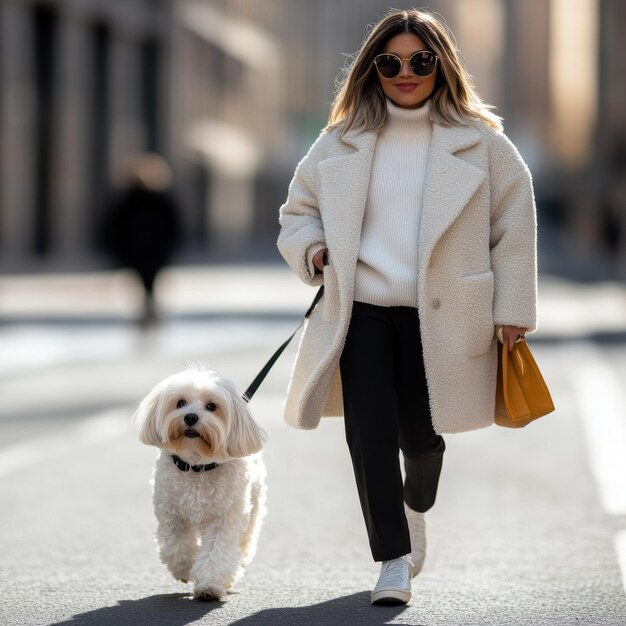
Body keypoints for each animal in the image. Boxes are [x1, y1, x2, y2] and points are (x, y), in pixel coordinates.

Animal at [134, 366, 266, 600]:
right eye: (180, 403)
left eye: (212, 406)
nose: (190, 417)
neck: (197, 465)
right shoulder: (171, 515)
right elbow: (176, 546)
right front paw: (185, 569)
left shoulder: (225, 519)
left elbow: (217, 551)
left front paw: (209, 585)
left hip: (253, 508)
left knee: (243, 544)